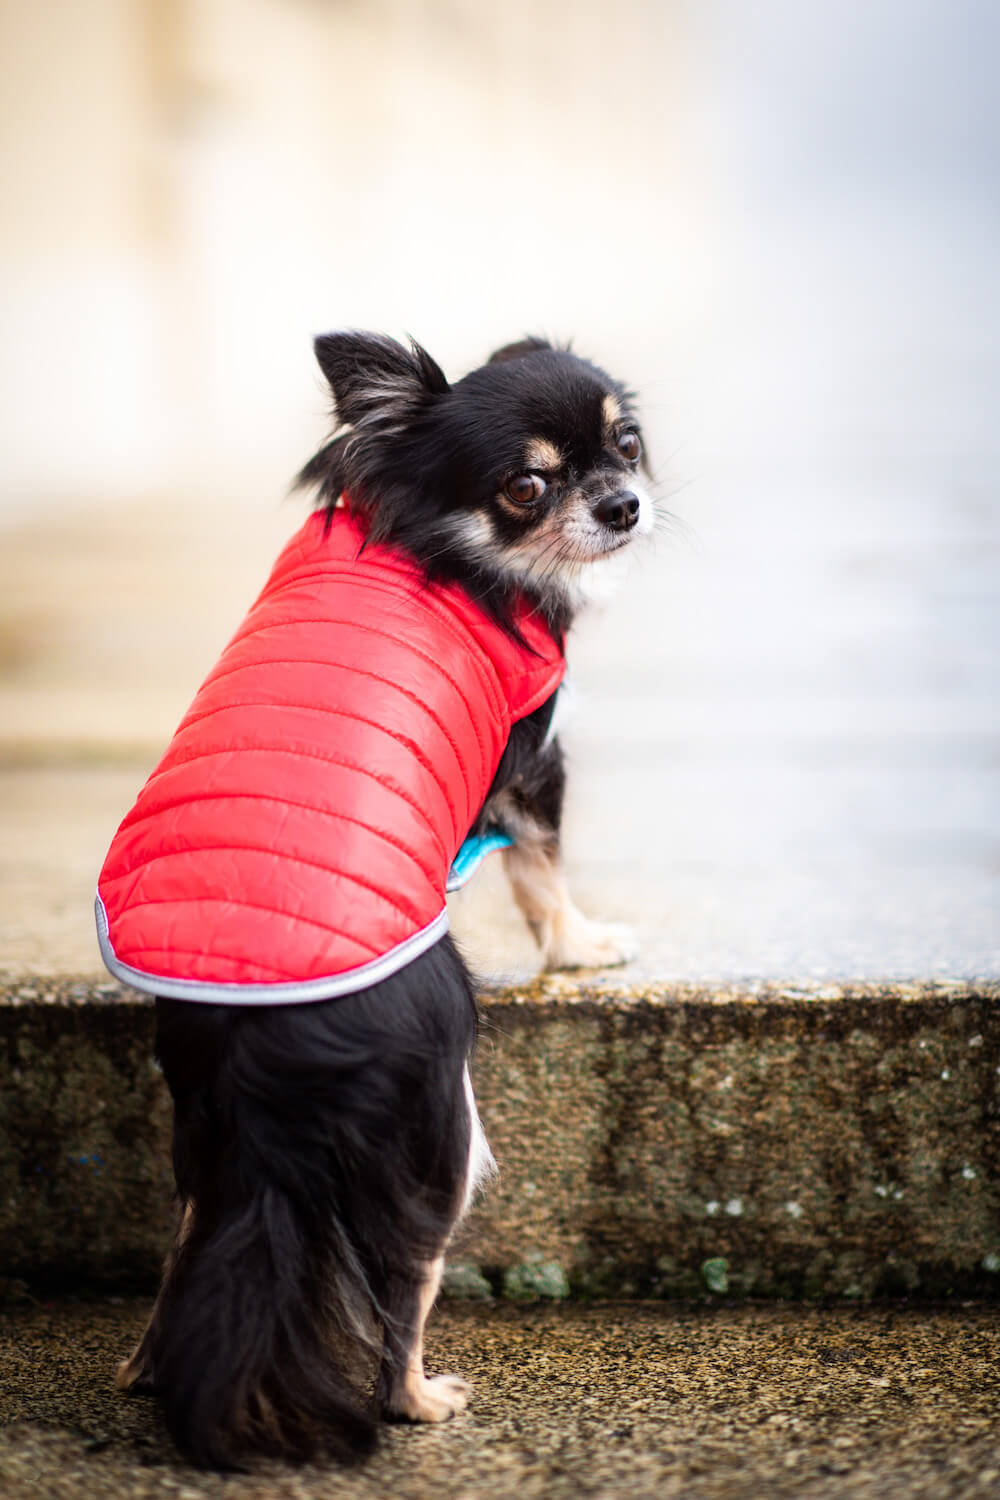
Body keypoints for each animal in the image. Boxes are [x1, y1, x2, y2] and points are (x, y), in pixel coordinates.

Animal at [99, 331, 650, 1464]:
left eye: (625, 441)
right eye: (527, 487)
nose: (624, 505)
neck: (434, 530)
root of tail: (273, 1040)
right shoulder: (532, 762)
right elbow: (543, 876)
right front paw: (582, 948)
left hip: (207, 1128)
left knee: (188, 1242)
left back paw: (148, 1368)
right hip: (445, 1122)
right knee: (406, 1277)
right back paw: (419, 1399)